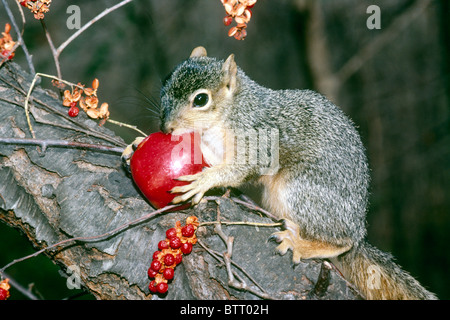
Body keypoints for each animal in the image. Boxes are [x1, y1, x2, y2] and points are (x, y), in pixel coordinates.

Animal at [122, 47, 436, 300]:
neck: (231, 111)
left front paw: (203, 181)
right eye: (165, 84)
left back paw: (303, 243)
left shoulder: (257, 140)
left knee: (341, 242)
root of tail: (358, 228)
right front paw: (137, 143)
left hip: (302, 190)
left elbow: (239, 168)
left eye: (200, 99)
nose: (166, 127)